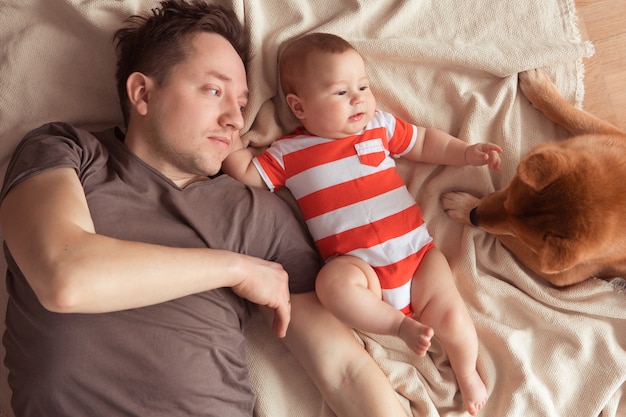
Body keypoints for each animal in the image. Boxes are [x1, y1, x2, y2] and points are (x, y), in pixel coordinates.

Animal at [442, 70, 624, 288]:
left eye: (516, 232)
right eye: (508, 194)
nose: (474, 215)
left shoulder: (562, 275)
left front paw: (462, 205)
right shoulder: (610, 136)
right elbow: (574, 116)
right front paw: (537, 86)